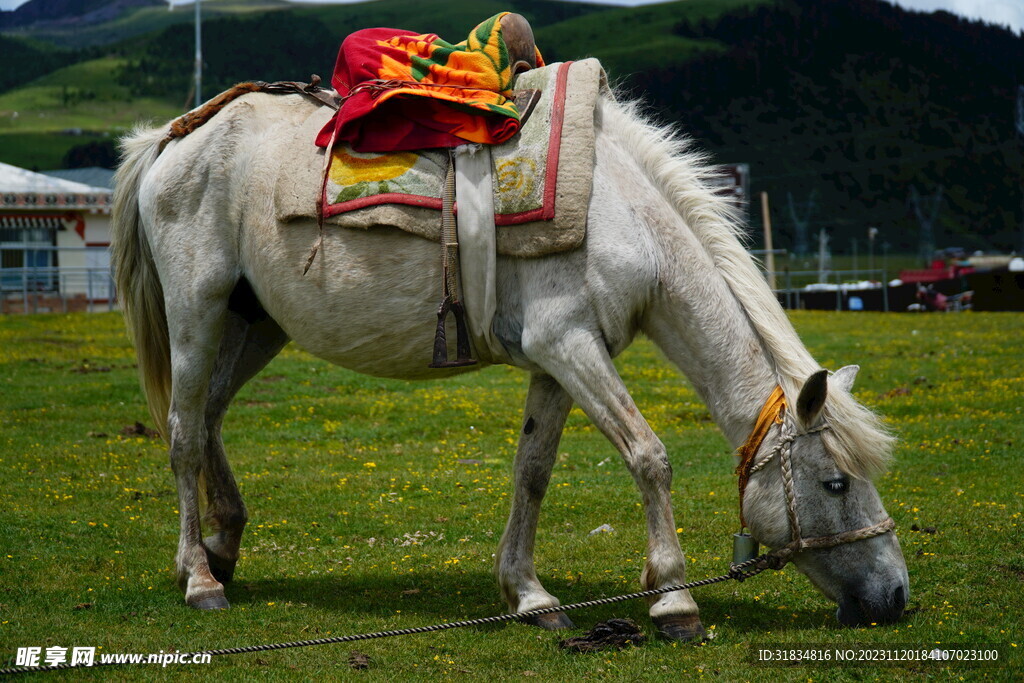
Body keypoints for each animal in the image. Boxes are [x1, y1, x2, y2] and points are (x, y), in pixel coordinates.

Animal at [114, 87, 913, 643]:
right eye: (836, 483)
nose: (896, 597)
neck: (623, 217)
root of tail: (173, 137)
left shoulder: (557, 362)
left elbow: (533, 472)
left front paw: (529, 596)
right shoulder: (570, 345)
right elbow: (649, 457)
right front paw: (675, 600)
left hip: (254, 324)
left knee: (210, 417)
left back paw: (222, 545)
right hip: (196, 310)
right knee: (183, 432)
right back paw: (200, 580)